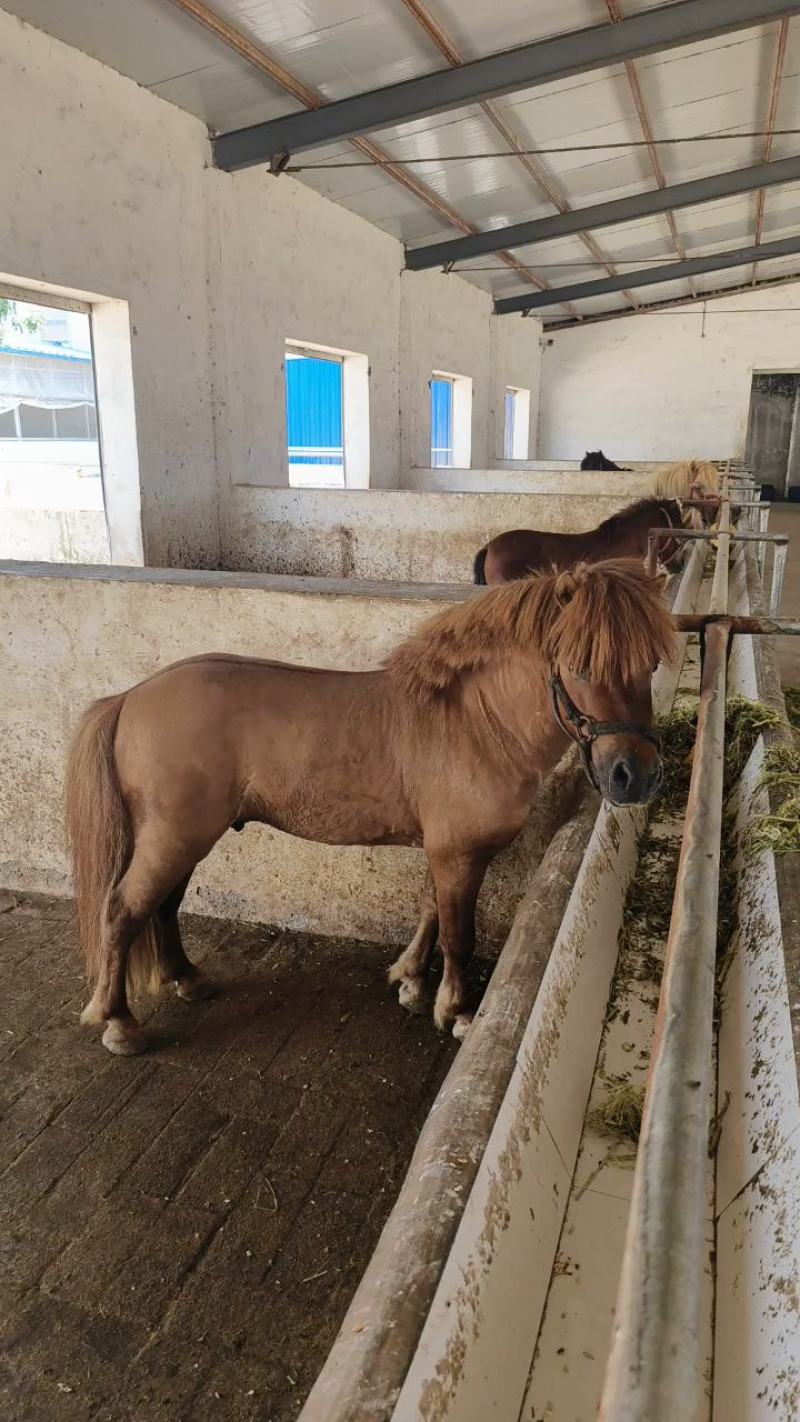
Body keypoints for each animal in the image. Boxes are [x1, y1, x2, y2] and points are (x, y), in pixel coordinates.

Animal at [66, 559, 676, 1053]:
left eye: (651, 665)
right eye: (580, 665)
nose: (634, 777)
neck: (476, 723)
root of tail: (130, 697)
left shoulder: (442, 850)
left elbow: (431, 912)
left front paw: (411, 981)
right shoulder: (459, 855)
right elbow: (459, 934)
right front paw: (456, 1011)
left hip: (185, 837)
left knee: (163, 907)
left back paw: (187, 979)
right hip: (174, 837)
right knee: (123, 911)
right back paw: (119, 1023)